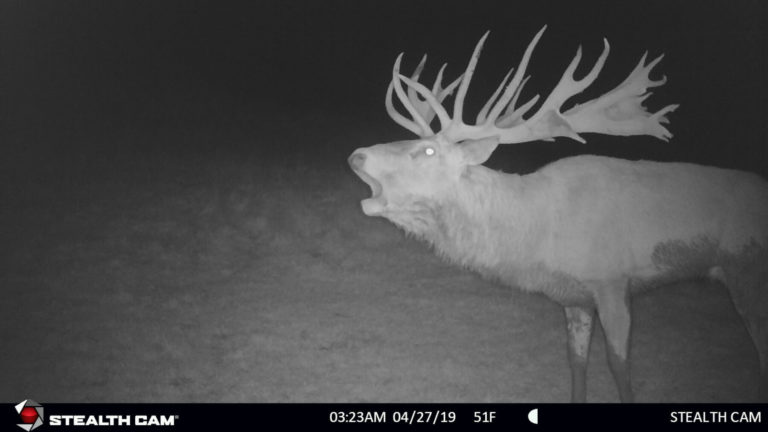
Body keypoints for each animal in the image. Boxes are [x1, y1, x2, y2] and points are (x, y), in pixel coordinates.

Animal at [347, 26, 768, 402]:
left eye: (429, 151)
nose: (357, 155)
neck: (541, 234)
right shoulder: (574, 296)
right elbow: (576, 362)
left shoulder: (612, 280)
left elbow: (619, 366)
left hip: (747, 268)